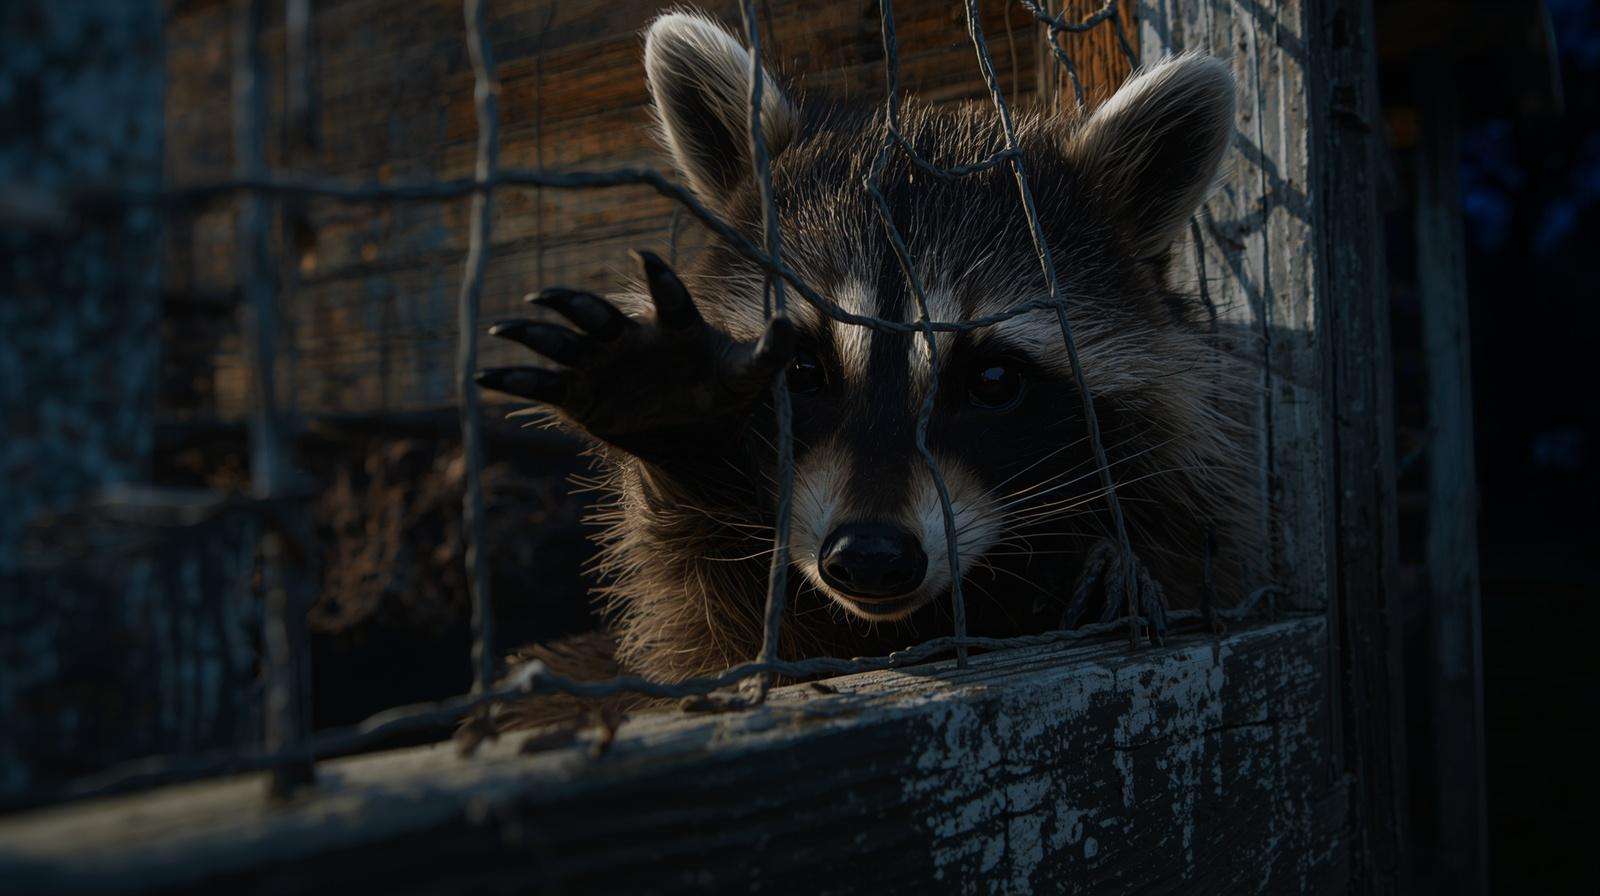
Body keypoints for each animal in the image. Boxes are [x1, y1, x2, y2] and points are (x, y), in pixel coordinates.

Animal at [475, 12, 1255, 727]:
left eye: (994, 381)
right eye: (798, 368)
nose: (873, 555)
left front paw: (1113, 567)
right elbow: (721, 646)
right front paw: (680, 418)